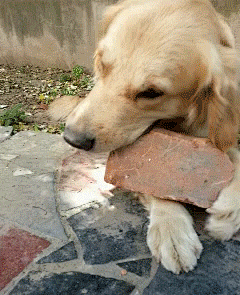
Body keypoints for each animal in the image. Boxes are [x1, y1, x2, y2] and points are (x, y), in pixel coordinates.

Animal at [50, 0, 240, 276]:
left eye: (151, 93)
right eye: (102, 64)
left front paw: (229, 211)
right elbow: (151, 180)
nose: (73, 139)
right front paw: (172, 230)